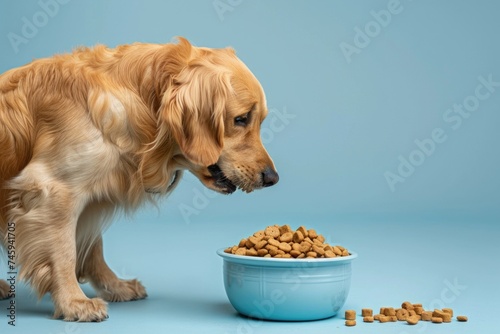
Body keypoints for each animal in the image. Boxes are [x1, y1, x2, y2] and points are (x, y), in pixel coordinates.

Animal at [0, 37, 278, 322]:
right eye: (241, 119)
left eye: (259, 120)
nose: (272, 178)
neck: (141, 100)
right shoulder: (54, 189)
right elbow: (64, 252)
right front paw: (73, 302)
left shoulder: (87, 200)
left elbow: (92, 248)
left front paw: (114, 286)